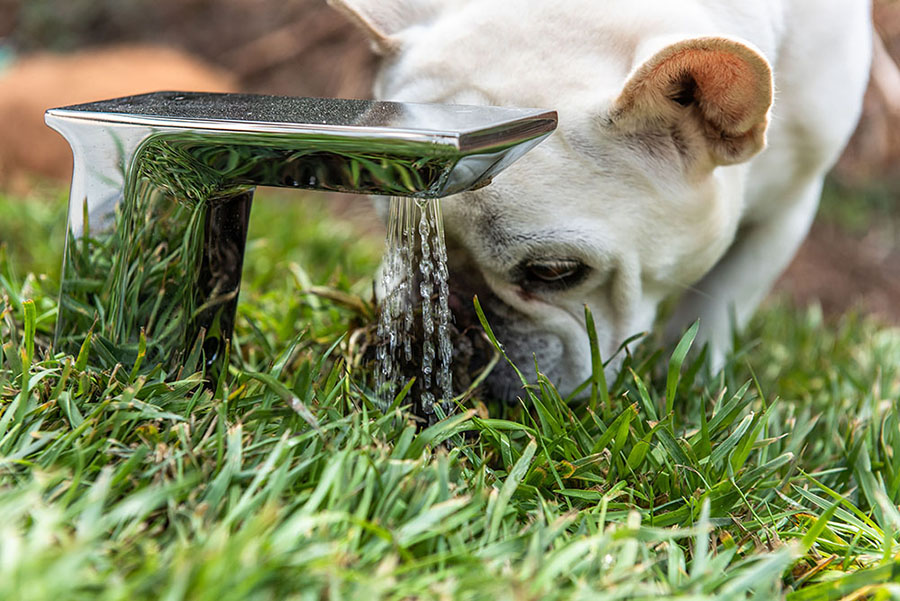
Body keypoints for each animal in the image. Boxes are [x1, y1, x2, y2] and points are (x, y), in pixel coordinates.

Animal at [330, 0, 872, 400]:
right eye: (397, 238)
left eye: (553, 272)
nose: (450, 316)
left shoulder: (793, 203)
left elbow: (723, 299)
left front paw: (695, 385)